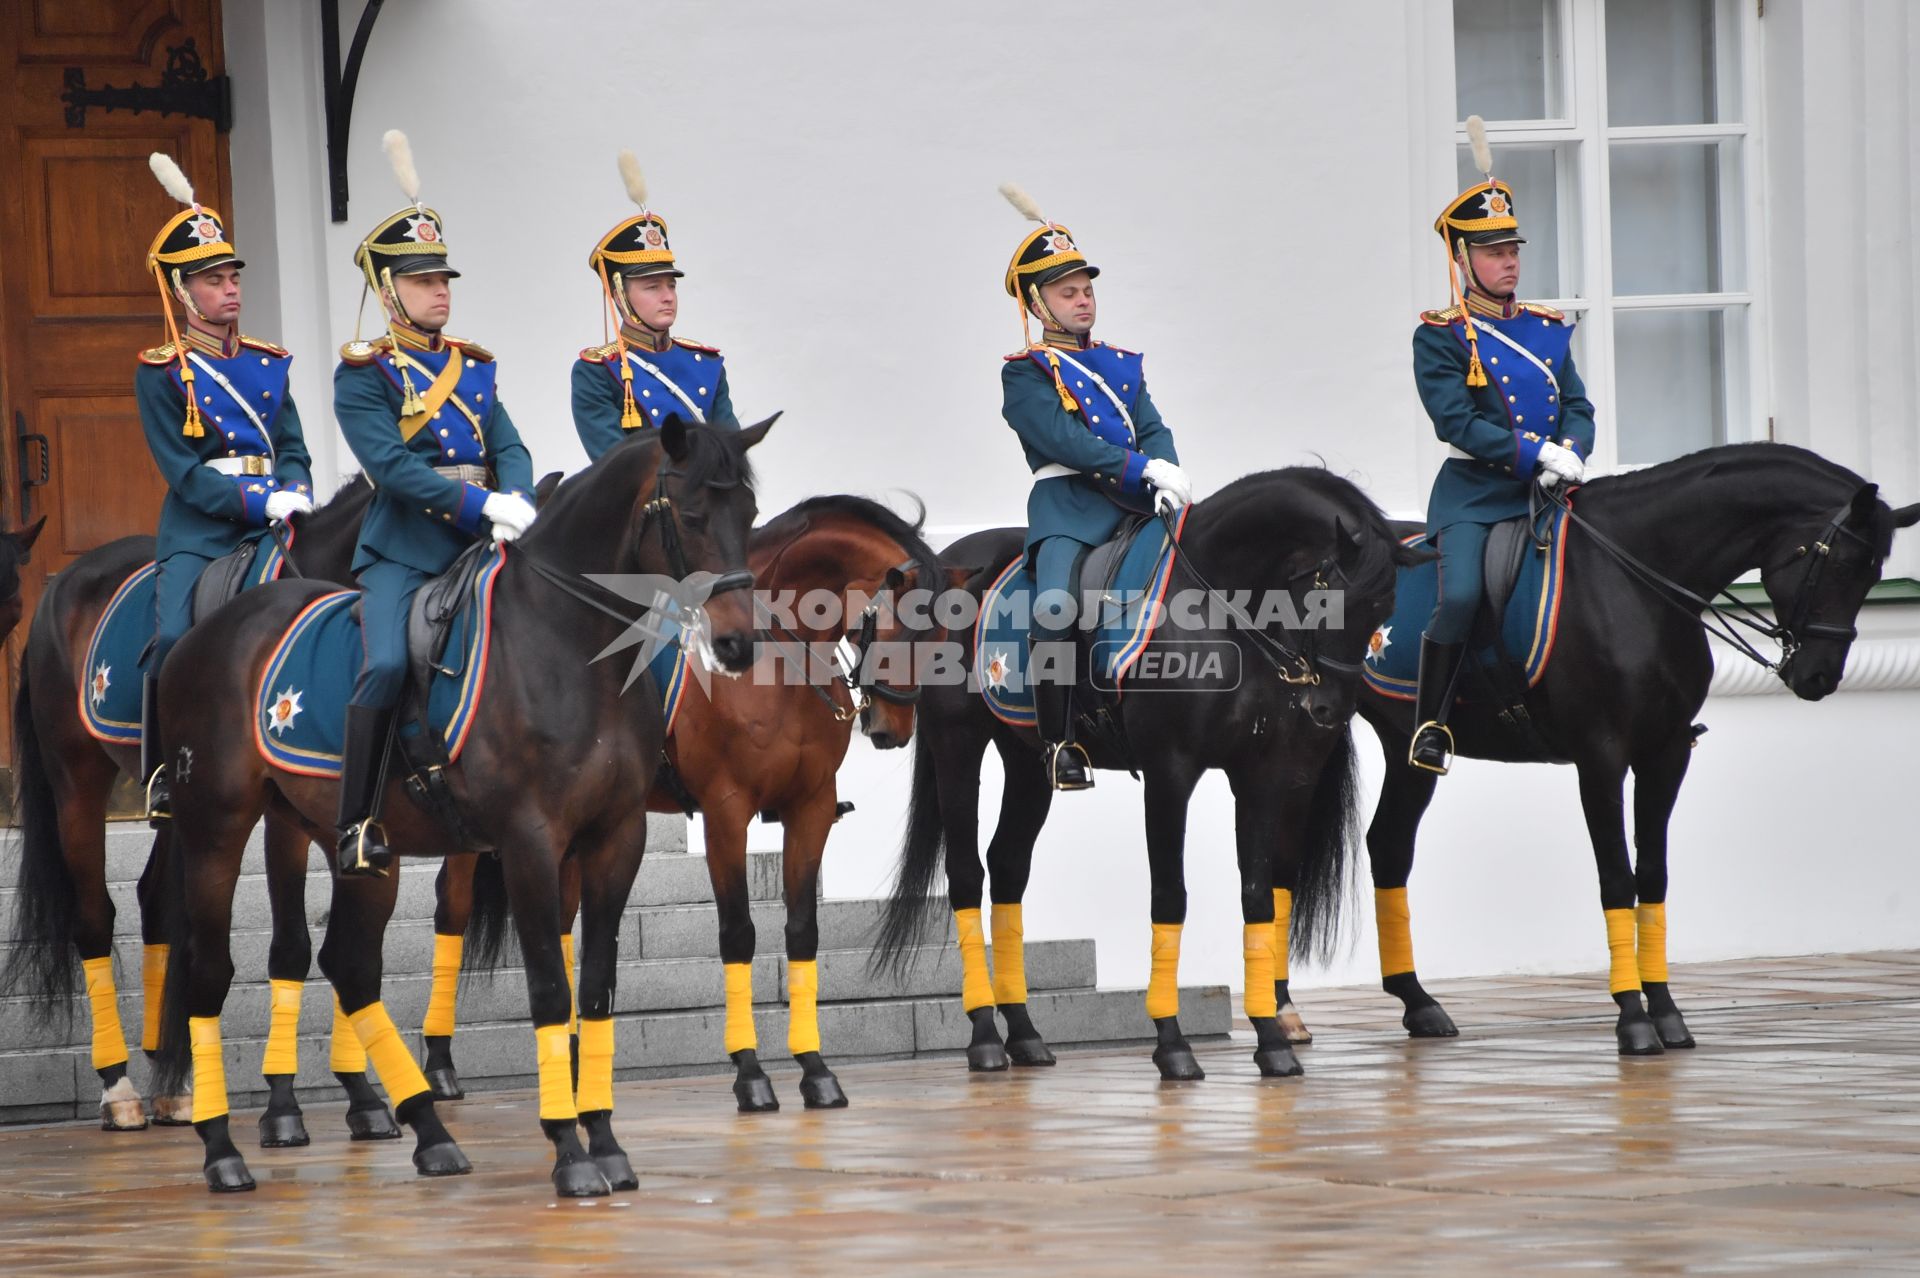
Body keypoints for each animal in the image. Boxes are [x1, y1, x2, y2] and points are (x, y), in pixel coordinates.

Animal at [151, 420, 771, 1197]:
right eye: (690, 515)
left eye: (750, 512)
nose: (738, 644)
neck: (566, 643)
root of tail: (200, 634)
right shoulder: (530, 842)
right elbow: (549, 988)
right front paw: (570, 1153)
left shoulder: (615, 838)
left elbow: (595, 988)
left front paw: (604, 1141)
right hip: (216, 831)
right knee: (210, 972)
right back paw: (221, 1148)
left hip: (356, 847)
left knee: (350, 965)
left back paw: (427, 1130)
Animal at [435, 491, 944, 1112]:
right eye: (903, 629)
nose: (894, 727)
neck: (774, 664)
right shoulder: (726, 812)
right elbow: (737, 933)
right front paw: (750, 1072)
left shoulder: (812, 808)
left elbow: (802, 931)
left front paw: (815, 1068)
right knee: (453, 907)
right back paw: (440, 1067)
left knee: (560, 921)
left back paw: (574, 1062)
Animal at [871, 468, 1428, 1074]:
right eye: (1333, 600)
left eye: (1385, 612)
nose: (1329, 709)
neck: (1220, 609)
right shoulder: (1170, 772)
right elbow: (1170, 895)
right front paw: (1172, 1043)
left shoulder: (1260, 774)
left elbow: (1257, 894)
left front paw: (1271, 1039)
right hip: (957, 743)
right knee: (967, 873)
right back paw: (984, 1037)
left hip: (1027, 759)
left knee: (1009, 866)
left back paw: (1023, 1032)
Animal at [1351, 443, 1920, 1051]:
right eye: (1839, 564)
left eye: (1873, 576)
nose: (1818, 677)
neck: (1637, 582)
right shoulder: (1601, 757)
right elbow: (1616, 877)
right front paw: (1632, 1017)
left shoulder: (1665, 753)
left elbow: (1652, 876)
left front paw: (1666, 1011)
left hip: (1405, 751)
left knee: (1389, 846)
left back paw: (1418, 1002)